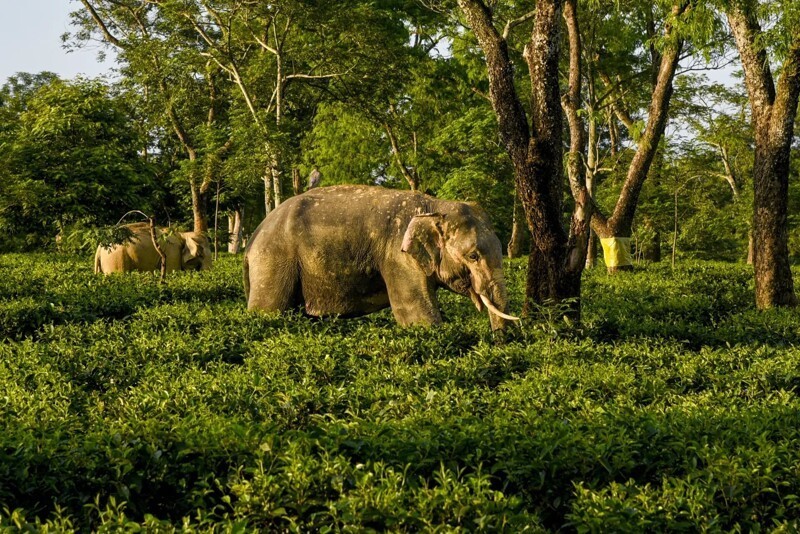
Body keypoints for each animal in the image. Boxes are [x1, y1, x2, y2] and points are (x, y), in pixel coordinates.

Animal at [244, 185, 520, 330]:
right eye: (473, 256)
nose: (500, 342)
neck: (434, 206)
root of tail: (254, 236)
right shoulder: (398, 257)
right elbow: (415, 313)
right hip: (274, 258)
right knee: (268, 310)